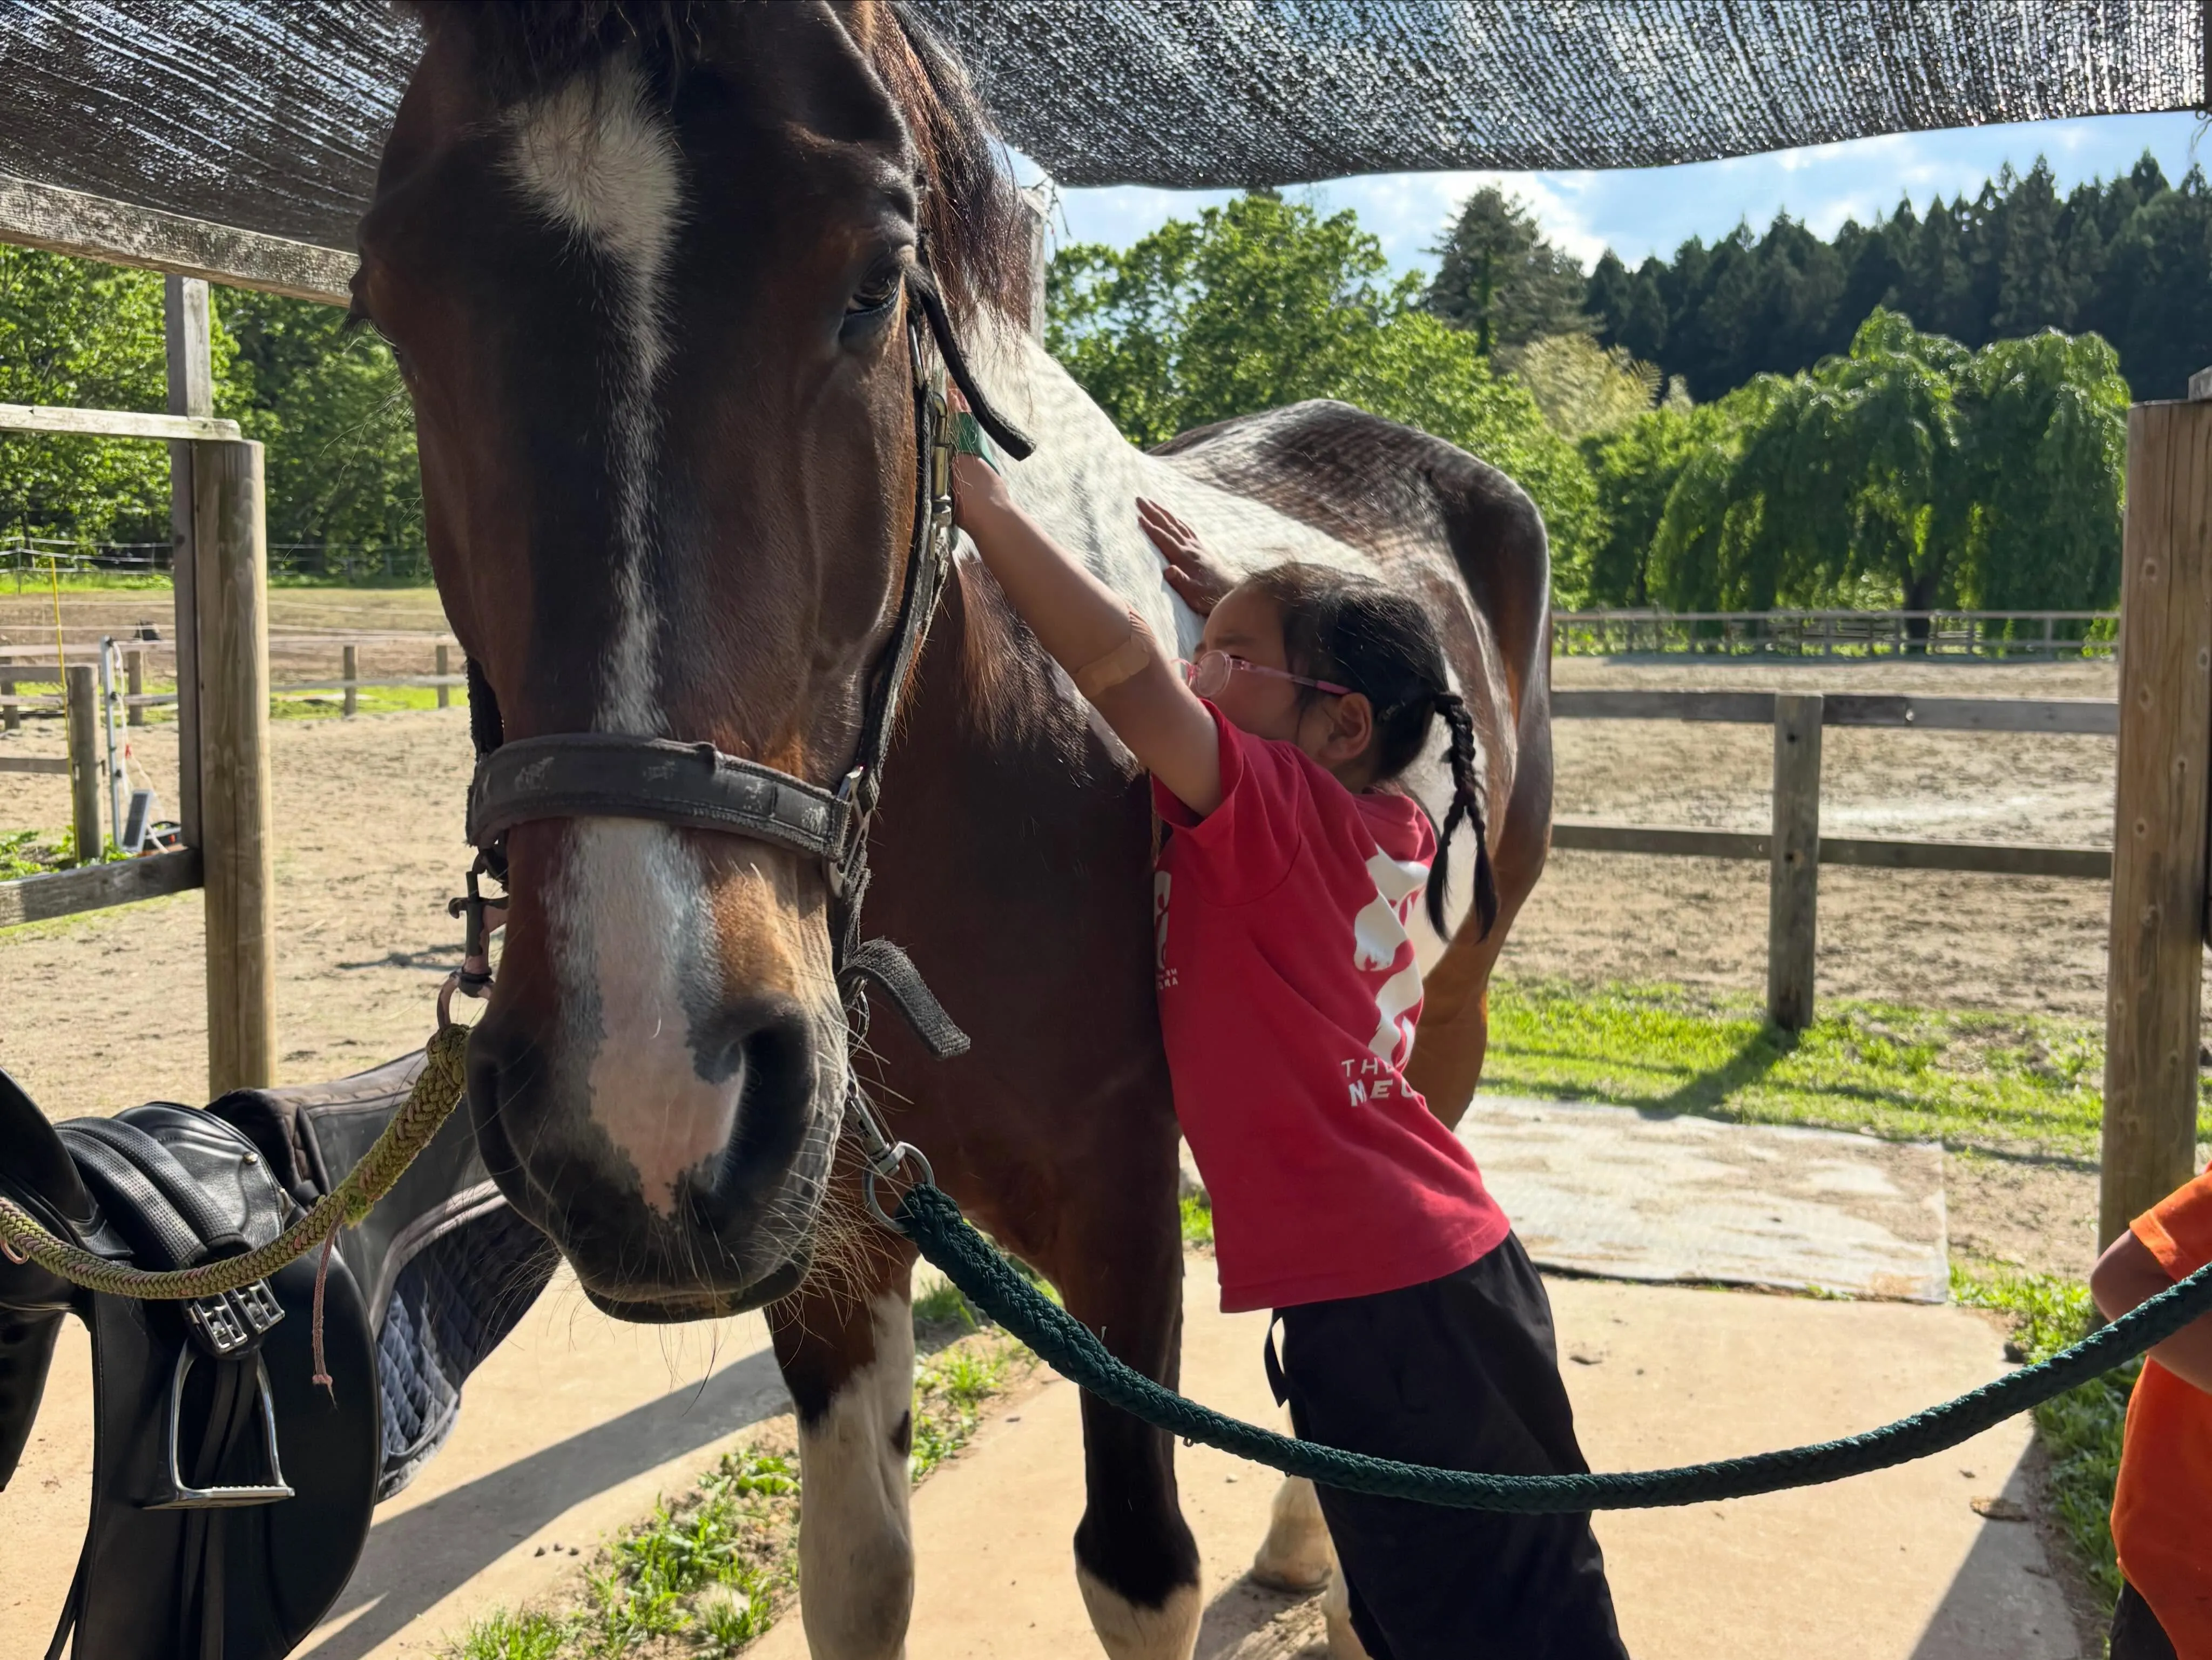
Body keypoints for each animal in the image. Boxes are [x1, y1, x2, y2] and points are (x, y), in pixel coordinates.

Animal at [358, 5, 1553, 1655]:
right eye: (390, 304)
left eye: (874, 283)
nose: (646, 1103)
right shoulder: (829, 1235)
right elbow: (857, 1572)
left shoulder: (1123, 1216)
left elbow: (1137, 1564)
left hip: (1448, 1018)